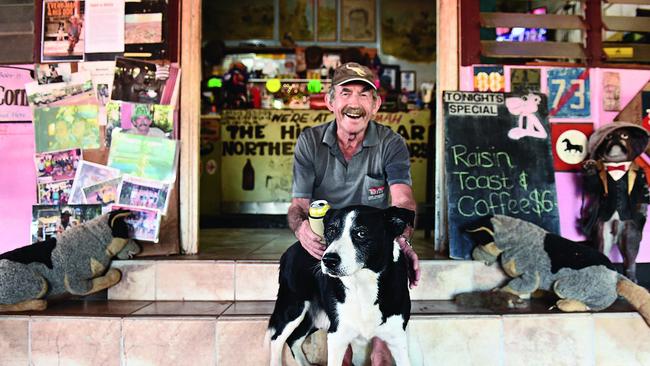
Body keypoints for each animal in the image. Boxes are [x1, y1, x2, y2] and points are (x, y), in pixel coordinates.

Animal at [266, 206, 412, 366]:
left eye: (361, 233)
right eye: (331, 231)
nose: (328, 260)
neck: (363, 284)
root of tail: (290, 248)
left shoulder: (397, 339)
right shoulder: (337, 336)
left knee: (294, 339)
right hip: (293, 307)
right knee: (276, 339)